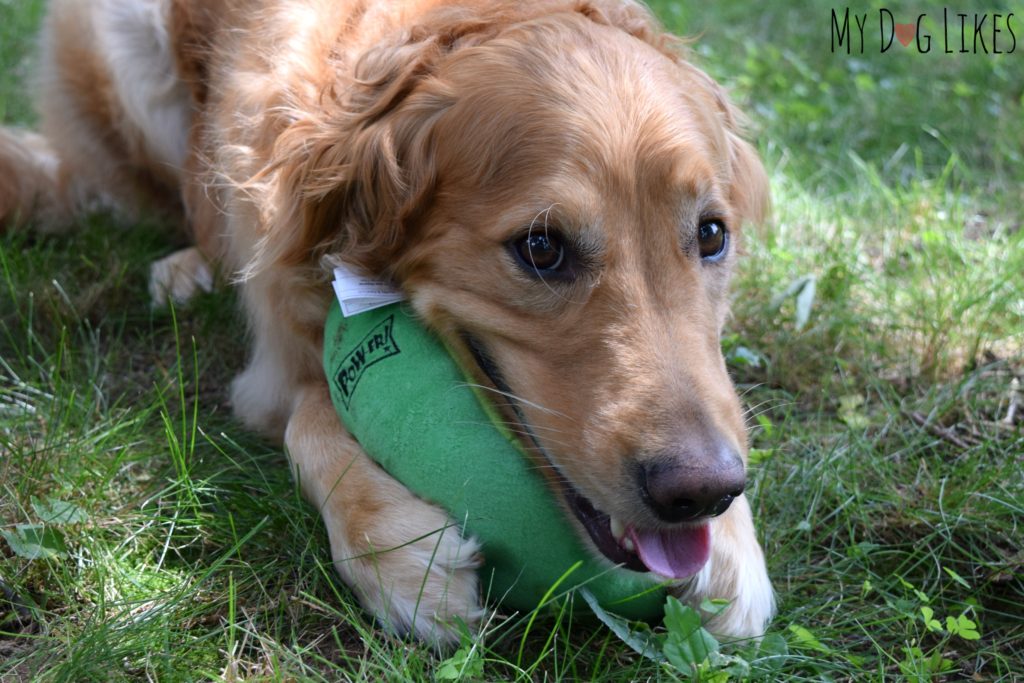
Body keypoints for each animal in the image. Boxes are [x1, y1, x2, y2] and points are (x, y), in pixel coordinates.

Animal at [0, 0, 770, 647]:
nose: (703, 491)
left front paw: (735, 548)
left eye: (711, 235)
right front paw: (404, 561)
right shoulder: (273, 362)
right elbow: (305, 417)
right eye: (542, 249)